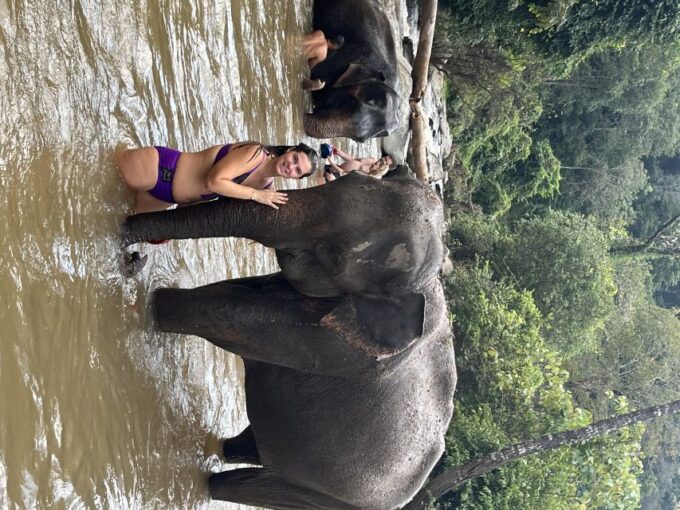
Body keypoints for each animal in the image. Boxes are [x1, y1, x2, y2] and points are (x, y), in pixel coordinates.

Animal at [123, 171, 456, 509]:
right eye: (348, 175)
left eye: (333, 256)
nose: (130, 248)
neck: (427, 284)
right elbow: (239, 289)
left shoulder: (339, 348)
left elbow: (228, 314)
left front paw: (153, 299)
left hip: (335, 499)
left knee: (249, 486)